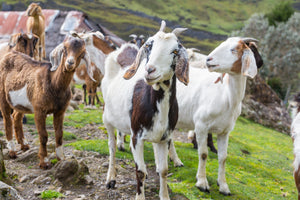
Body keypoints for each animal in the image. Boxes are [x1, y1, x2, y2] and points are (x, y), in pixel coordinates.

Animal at [0, 35, 92, 169]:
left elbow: (59, 134)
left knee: (16, 116)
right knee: (7, 119)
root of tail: (9, 54)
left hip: (22, 102)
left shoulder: (60, 111)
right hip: (3, 94)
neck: (53, 83)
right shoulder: (40, 110)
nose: (70, 63)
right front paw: (44, 162)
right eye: (65, 49)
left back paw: (24, 145)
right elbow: (43, 136)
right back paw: (12, 151)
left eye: (81, 53)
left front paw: (61, 158)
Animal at [102, 20, 189, 200]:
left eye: (175, 51)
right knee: (112, 147)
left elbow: (163, 170)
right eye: (149, 45)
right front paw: (140, 195)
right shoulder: (137, 136)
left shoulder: (164, 138)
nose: (150, 70)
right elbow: (140, 171)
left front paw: (164, 196)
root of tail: (125, 49)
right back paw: (111, 178)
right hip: (107, 119)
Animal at [168, 36, 264, 195]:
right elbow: (203, 154)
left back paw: (176, 161)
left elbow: (223, 157)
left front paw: (223, 186)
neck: (226, 96)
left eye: (233, 49)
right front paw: (202, 182)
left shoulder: (224, 132)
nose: (208, 59)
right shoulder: (201, 126)